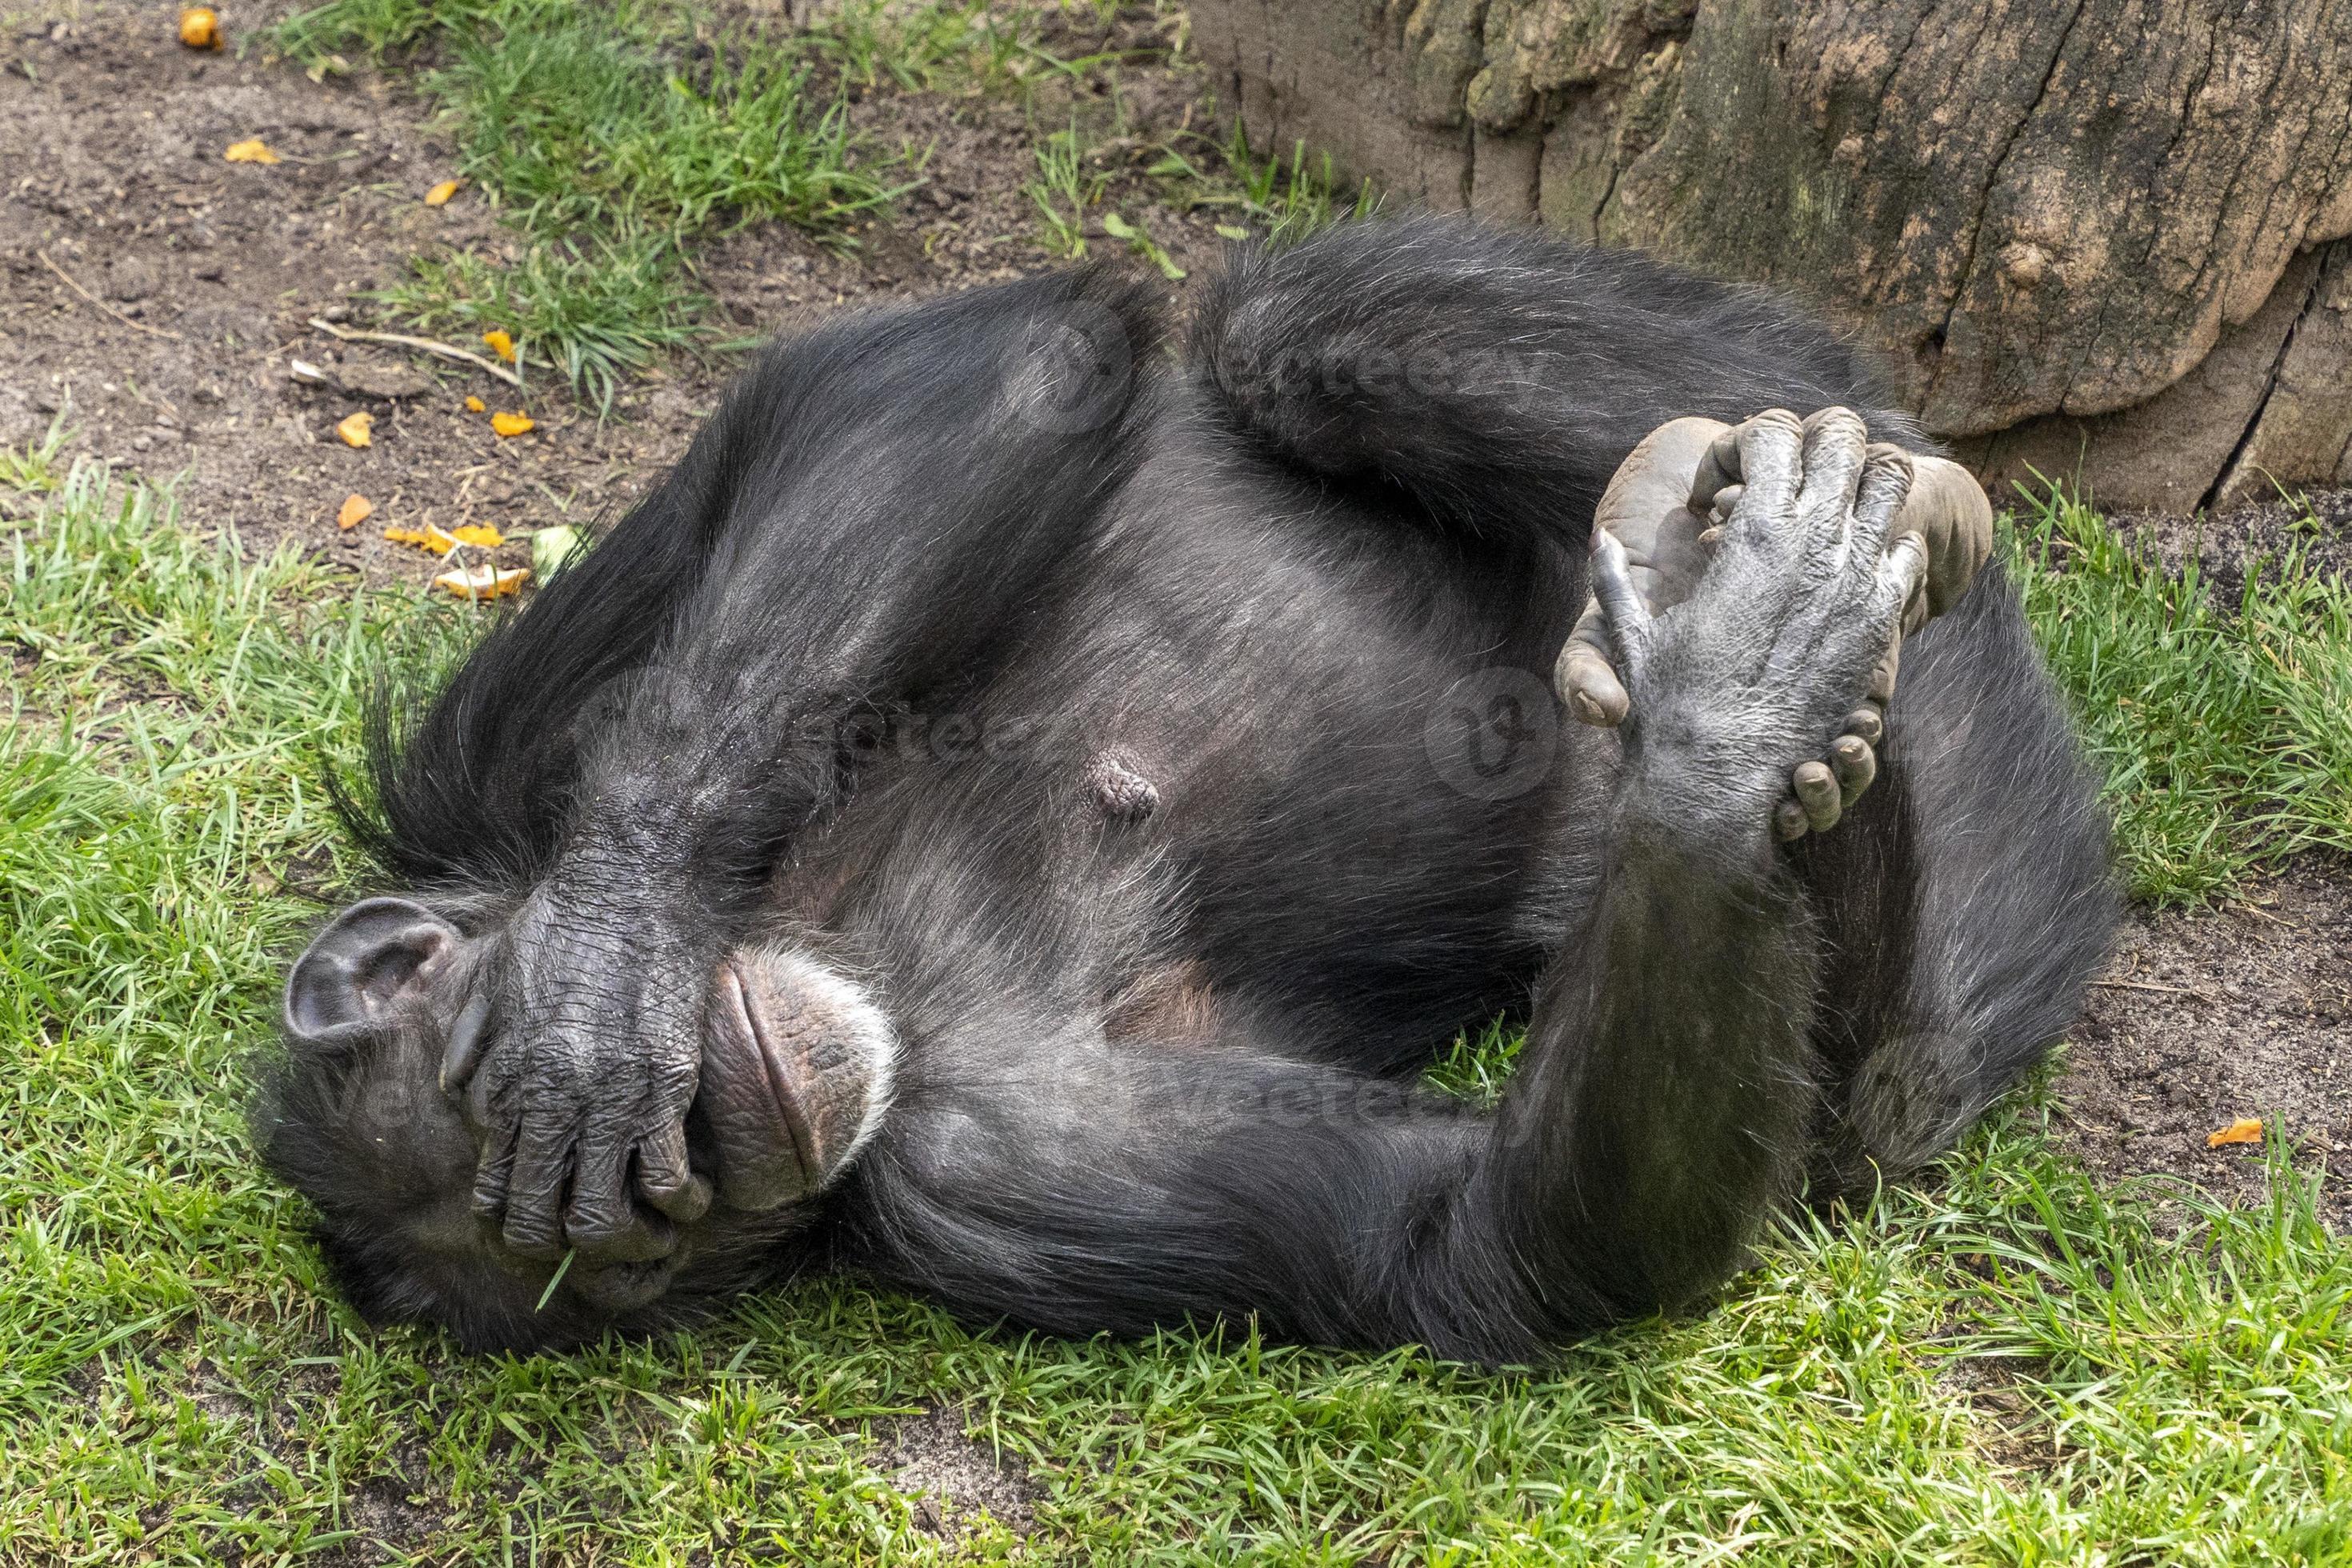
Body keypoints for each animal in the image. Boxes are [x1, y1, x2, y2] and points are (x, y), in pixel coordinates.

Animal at [257, 217, 2117, 1363]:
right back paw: (1767, 696)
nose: (732, 1134)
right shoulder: (977, 1179)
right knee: (1856, 1119)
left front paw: (599, 971)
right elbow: (1481, 1240)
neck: (823, 932)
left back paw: (1810, 532)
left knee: (1308, 332)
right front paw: (1729, 741)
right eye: (645, 1245)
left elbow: (950, 378)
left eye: (618, 1187)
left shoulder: (502, 745)